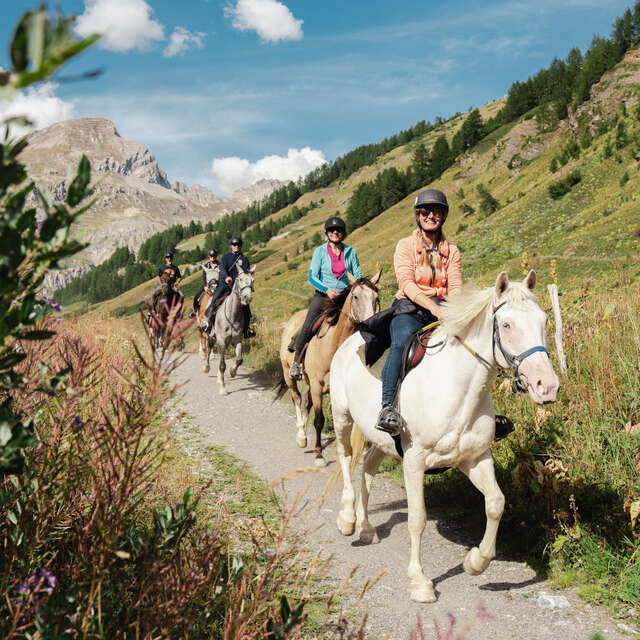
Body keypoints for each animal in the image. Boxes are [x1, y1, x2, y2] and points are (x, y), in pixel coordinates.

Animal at [202, 262, 258, 392]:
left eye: (252, 280)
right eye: (240, 279)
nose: (247, 298)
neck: (232, 315)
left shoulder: (237, 340)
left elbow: (239, 359)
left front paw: (232, 371)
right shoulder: (221, 341)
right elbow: (222, 365)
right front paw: (223, 389)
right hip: (210, 336)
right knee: (209, 350)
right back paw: (206, 368)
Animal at [276, 268, 380, 468]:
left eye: (376, 297)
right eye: (356, 296)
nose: (371, 323)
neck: (333, 346)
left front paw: (358, 452)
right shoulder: (317, 386)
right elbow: (319, 420)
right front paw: (319, 455)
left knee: (306, 403)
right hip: (288, 374)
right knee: (297, 398)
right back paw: (301, 437)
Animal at [330, 272, 560, 604]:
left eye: (544, 320)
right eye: (506, 325)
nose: (548, 386)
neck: (456, 387)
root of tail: (351, 340)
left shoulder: (475, 458)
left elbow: (496, 503)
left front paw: (476, 562)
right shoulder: (414, 462)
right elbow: (417, 519)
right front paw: (420, 582)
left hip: (382, 441)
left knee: (368, 468)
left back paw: (367, 528)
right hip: (342, 418)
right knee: (346, 459)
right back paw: (347, 519)